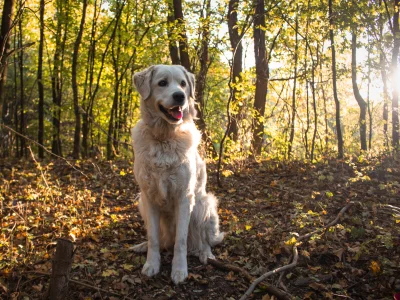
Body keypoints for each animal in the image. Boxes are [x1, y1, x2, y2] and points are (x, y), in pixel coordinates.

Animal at [131, 63, 225, 284]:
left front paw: (179, 270)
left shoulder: (184, 197)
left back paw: (205, 254)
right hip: (141, 203)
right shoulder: (148, 196)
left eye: (183, 84)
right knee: (164, 240)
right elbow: (154, 239)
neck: (165, 137)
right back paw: (142, 246)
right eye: (162, 83)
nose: (180, 96)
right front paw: (151, 264)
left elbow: (180, 241)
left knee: (203, 240)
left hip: (203, 204)